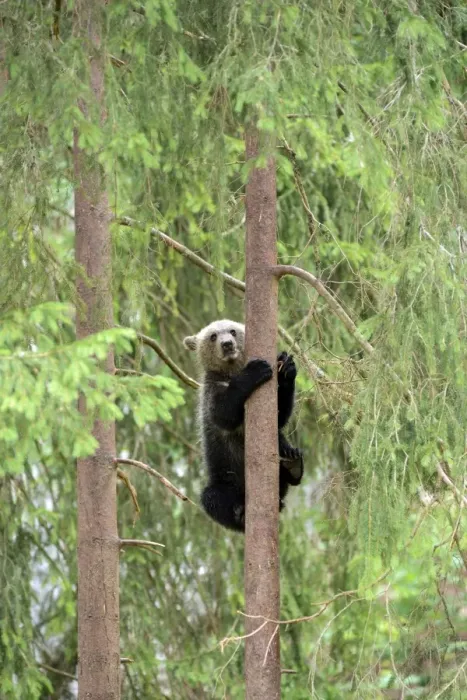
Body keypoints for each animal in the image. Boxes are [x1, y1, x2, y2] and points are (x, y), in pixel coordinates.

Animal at [183, 319, 303, 532]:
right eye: (213, 336)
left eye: (232, 331)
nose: (227, 344)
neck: (230, 371)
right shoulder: (212, 392)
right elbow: (224, 414)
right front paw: (256, 370)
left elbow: (280, 415)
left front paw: (286, 367)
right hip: (226, 478)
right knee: (212, 498)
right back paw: (240, 514)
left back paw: (292, 461)